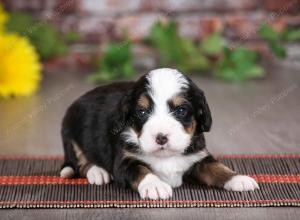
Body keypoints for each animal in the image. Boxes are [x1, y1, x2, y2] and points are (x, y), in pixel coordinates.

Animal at [60, 68, 258, 199]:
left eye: (181, 110)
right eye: (142, 112)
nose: (161, 137)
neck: (166, 156)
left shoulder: (198, 157)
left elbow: (218, 168)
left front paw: (238, 178)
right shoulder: (124, 161)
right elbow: (140, 169)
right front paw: (155, 185)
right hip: (71, 135)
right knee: (80, 162)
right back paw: (97, 172)